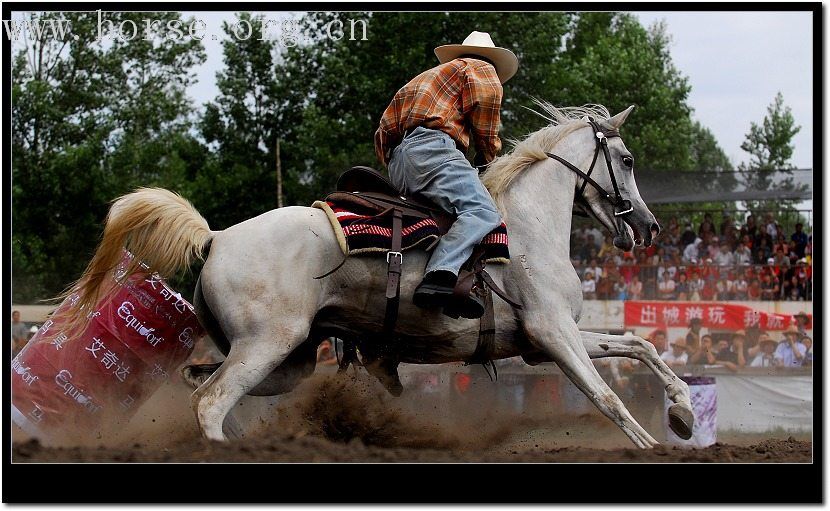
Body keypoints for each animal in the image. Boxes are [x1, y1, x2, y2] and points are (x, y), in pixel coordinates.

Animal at [66, 103, 696, 448]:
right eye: (628, 160)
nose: (647, 226)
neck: (526, 228)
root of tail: (217, 236)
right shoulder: (553, 334)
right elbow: (607, 397)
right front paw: (652, 442)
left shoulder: (542, 339)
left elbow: (638, 343)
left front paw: (684, 414)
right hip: (267, 346)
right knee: (211, 403)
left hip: (287, 361)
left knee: (198, 385)